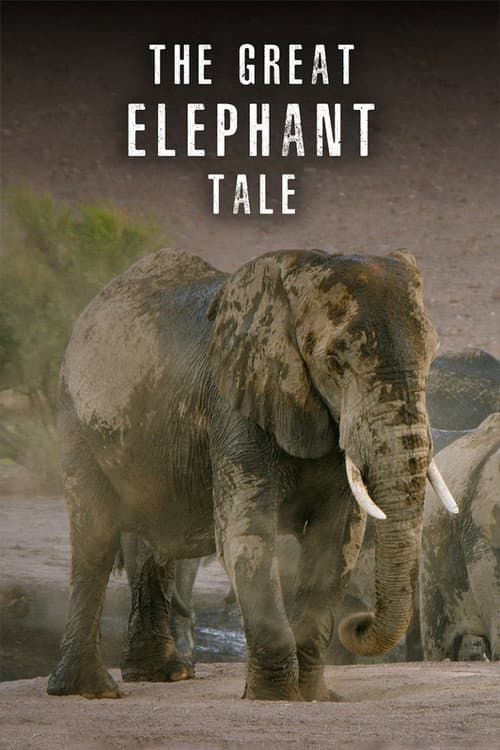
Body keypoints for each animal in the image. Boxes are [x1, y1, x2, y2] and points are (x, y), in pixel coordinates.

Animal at [47, 247, 457, 701]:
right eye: (334, 361)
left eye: (431, 356)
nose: (359, 623)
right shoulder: (233, 405)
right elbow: (247, 536)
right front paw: (275, 698)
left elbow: (335, 544)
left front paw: (315, 698)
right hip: (75, 417)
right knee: (95, 539)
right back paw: (89, 690)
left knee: (152, 541)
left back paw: (164, 674)